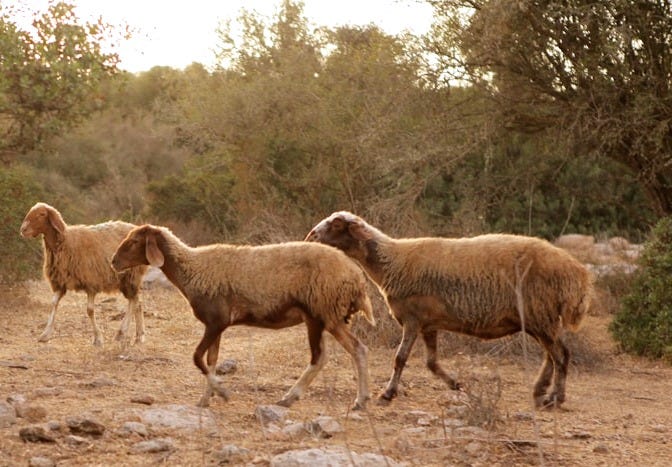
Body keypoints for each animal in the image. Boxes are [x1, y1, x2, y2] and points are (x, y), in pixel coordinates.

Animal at [19, 202, 148, 346]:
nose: (23, 229)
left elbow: (90, 310)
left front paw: (98, 338)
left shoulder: (91, 283)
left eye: (42, 214)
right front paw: (45, 334)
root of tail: (135, 227)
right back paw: (138, 336)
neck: (65, 242)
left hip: (131, 276)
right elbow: (53, 304)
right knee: (137, 302)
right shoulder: (60, 283)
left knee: (134, 301)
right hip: (126, 279)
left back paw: (124, 333)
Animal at [111, 224, 375, 409]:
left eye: (134, 240)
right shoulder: (216, 326)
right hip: (328, 317)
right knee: (354, 349)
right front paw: (206, 398)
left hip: (321, 312)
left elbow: (197, 358)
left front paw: (222, 392)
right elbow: (211, 360)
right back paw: (359, 399)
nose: (113, 262)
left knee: (324, 356)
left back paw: (293, 397)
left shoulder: (216, 321)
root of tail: (356, 277)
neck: (192, 269)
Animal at [305, 211, 593, 408]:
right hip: (541, 319)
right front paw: (455, 383)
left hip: (540, 315)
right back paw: (540, 391)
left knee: (561, 356)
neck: (392, 262)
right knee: (553, 355)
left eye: (337, 224)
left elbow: (400, 358)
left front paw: (387, 393)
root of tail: (577, 273)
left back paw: (555, 397)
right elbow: (431, 362)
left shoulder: (412, 319)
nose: (311, 236)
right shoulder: (429, 324)